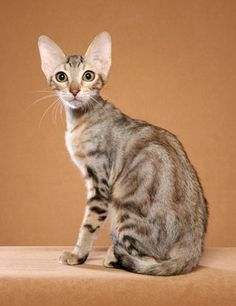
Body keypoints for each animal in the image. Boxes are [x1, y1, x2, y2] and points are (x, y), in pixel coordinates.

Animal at [37, 32, 207, 276]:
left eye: (88, 76)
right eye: (61, 77)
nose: (75, 90)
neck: (79, 121)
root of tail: (195, 245)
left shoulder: (99, 183)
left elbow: (88, 224)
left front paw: (78, 255)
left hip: (125, 206)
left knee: (149, 259)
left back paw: (114, 257)